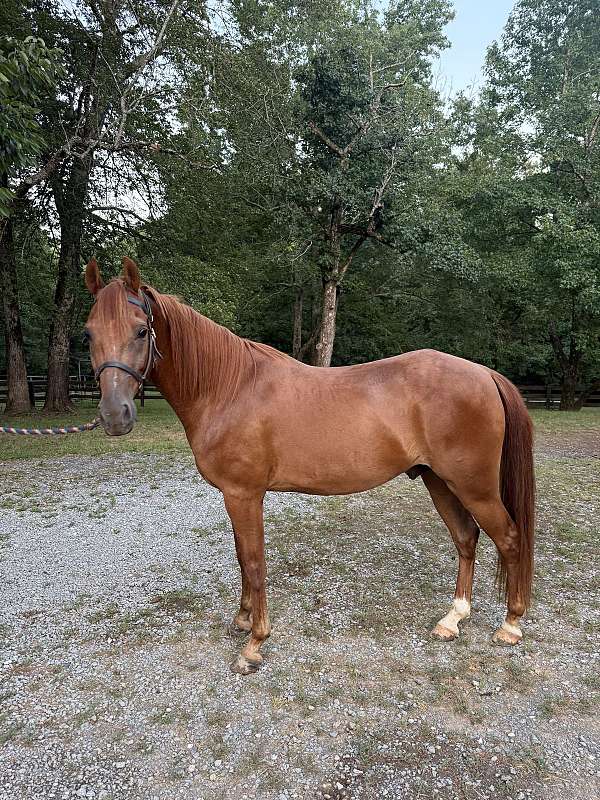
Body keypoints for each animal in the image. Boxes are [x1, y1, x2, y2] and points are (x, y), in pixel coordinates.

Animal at [84, 256, 535, 675]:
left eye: (142, 330)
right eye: (88, 333)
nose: (114, 415)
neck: (228, 388)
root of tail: (484, 374)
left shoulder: (244, 495)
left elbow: (254, 562)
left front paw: (254, 643)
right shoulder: (235, 496)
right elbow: (241, 557)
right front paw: (242, 619)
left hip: (473, 485)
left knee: (509, 539)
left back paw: (510, 625)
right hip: (439, 480)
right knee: (466, 538)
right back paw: (453, 619)